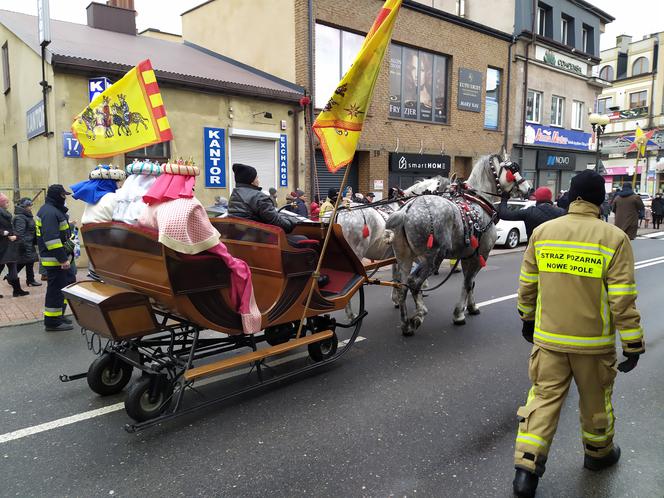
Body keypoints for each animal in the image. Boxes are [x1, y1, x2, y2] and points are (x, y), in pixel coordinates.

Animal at [384, 154, 528, 336]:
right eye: (513, 168)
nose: (528, 187)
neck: (478, 202)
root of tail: (406, 209)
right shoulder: (481, 255)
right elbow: (468, 283)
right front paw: (459, 314)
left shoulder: (468, 255)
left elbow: (471, 283)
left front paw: (471, 307)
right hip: (432, 258)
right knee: (413, 283)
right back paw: (419, 315)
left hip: (404, 257)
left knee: (402, 285)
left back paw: (405, 325)